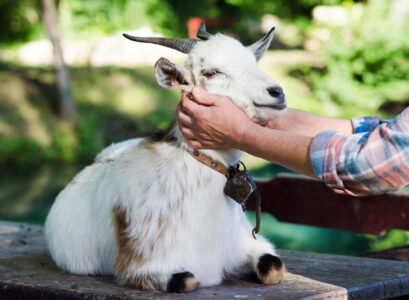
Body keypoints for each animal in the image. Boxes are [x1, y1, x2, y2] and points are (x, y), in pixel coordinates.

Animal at [44, 23, 286, 292]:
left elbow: (273, 267)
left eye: (254, 63)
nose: (277, 92)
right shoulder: (143, 265)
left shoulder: (250, 243)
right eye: (211, 72)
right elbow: (187, 280)